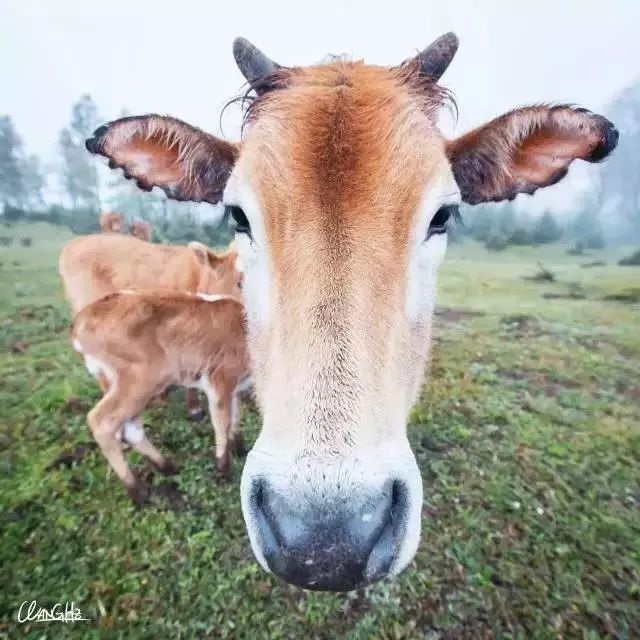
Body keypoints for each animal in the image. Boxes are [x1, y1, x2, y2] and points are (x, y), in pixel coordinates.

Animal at [72, 292, 248, 504]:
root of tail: (81, 319)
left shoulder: (235, 385)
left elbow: (236, 414)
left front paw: (240, 448)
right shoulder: (220, 379)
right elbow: (222, 422)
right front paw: (223, 469)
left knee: (130, 430)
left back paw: (166, 467)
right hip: (141, 381)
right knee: (102, 422)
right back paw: (137, 490)